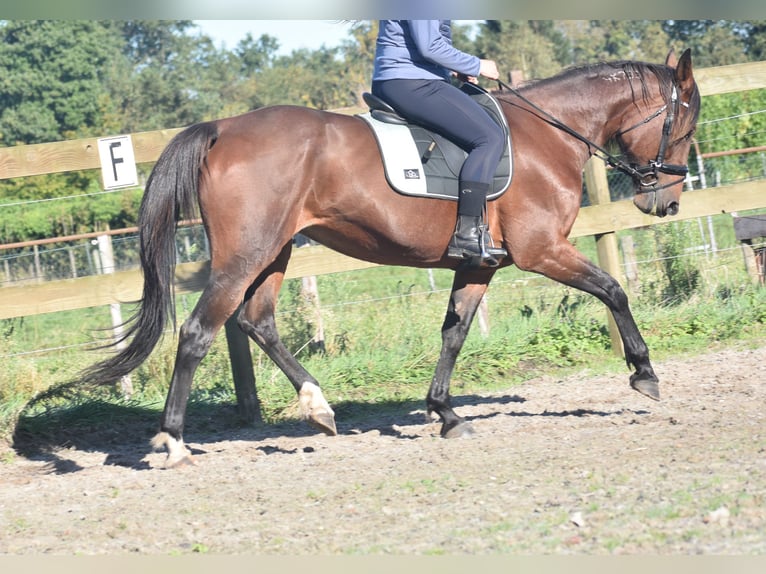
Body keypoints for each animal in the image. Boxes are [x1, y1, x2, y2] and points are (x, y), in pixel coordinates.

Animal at [79, 49, 704, 468]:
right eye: (684, 123)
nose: (666, 202)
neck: (546, 136)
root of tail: (223, 128)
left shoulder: (478, 264)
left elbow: (454, 332)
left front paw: (445, 413)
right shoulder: (542, 251)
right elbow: (613, 289)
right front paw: (644, 373)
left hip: (274, 252)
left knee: (258, 322)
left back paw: (319, 407)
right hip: (247, 254)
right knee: (197, 332)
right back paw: (174, 442)